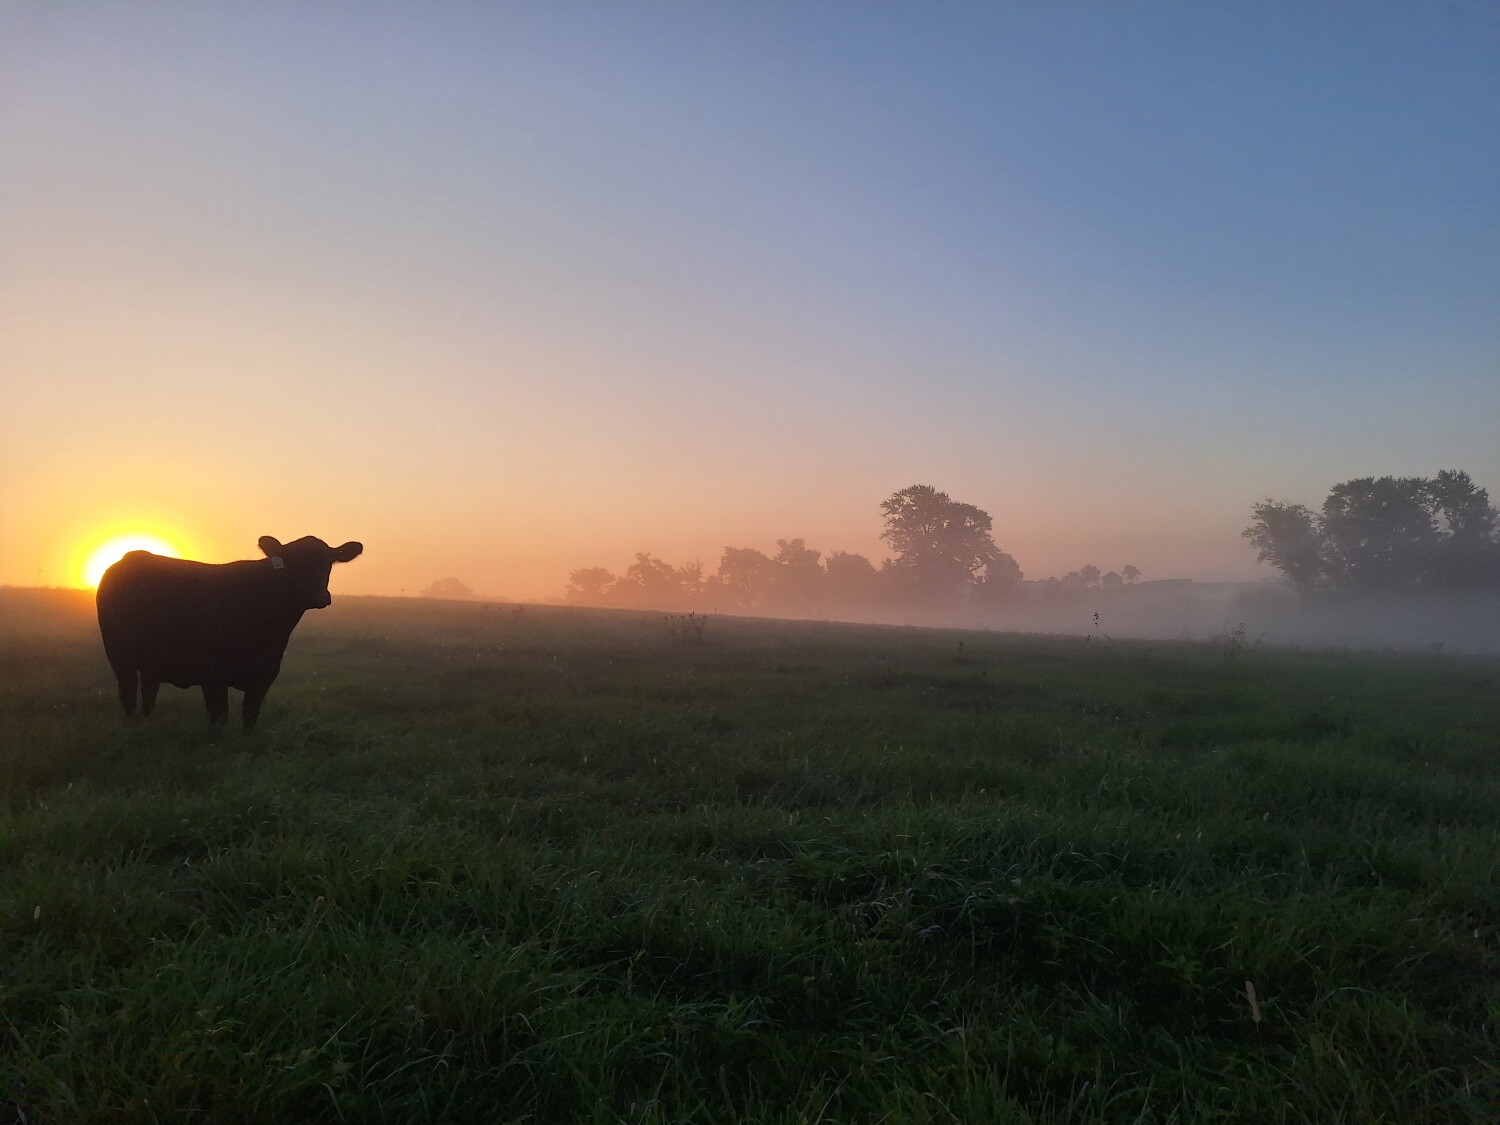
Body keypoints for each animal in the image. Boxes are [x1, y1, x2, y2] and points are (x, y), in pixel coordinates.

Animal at [96, 535, 363, 730]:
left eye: (328, 562)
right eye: (292, 563)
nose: (319, 596)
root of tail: (132, 556)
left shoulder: (265, 675)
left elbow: (250, 717)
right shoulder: (212, 675)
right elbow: (219, 717)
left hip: (152, 661)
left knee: (149, 692)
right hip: (119, 656)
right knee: (128, 694)